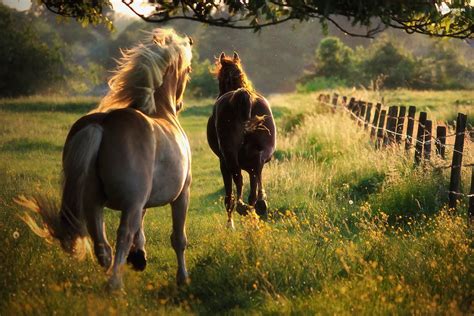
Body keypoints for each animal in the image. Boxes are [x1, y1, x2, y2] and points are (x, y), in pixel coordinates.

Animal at [17, 28, 193, 290]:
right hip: (128, 204)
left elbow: (142, 228)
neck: (162, 112)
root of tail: (102, 125)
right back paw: (115, 284)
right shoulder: (181, 195)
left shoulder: (142, 201)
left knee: (102, 245)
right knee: (122, 236)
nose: (180, 104)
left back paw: (110, 272)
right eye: (188, 70)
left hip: (92, 203)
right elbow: (178, 239)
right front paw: (182, 278)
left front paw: (139, 257)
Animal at [206, 52, 276, 230]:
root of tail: (242, 95)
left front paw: (230, 224)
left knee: (238, 181)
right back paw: (259, 205)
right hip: (261, 153)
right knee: (257, 173)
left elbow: (228, 194)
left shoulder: (222, 162)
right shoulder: (250, 165)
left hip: (229, 157)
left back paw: (241, 209)